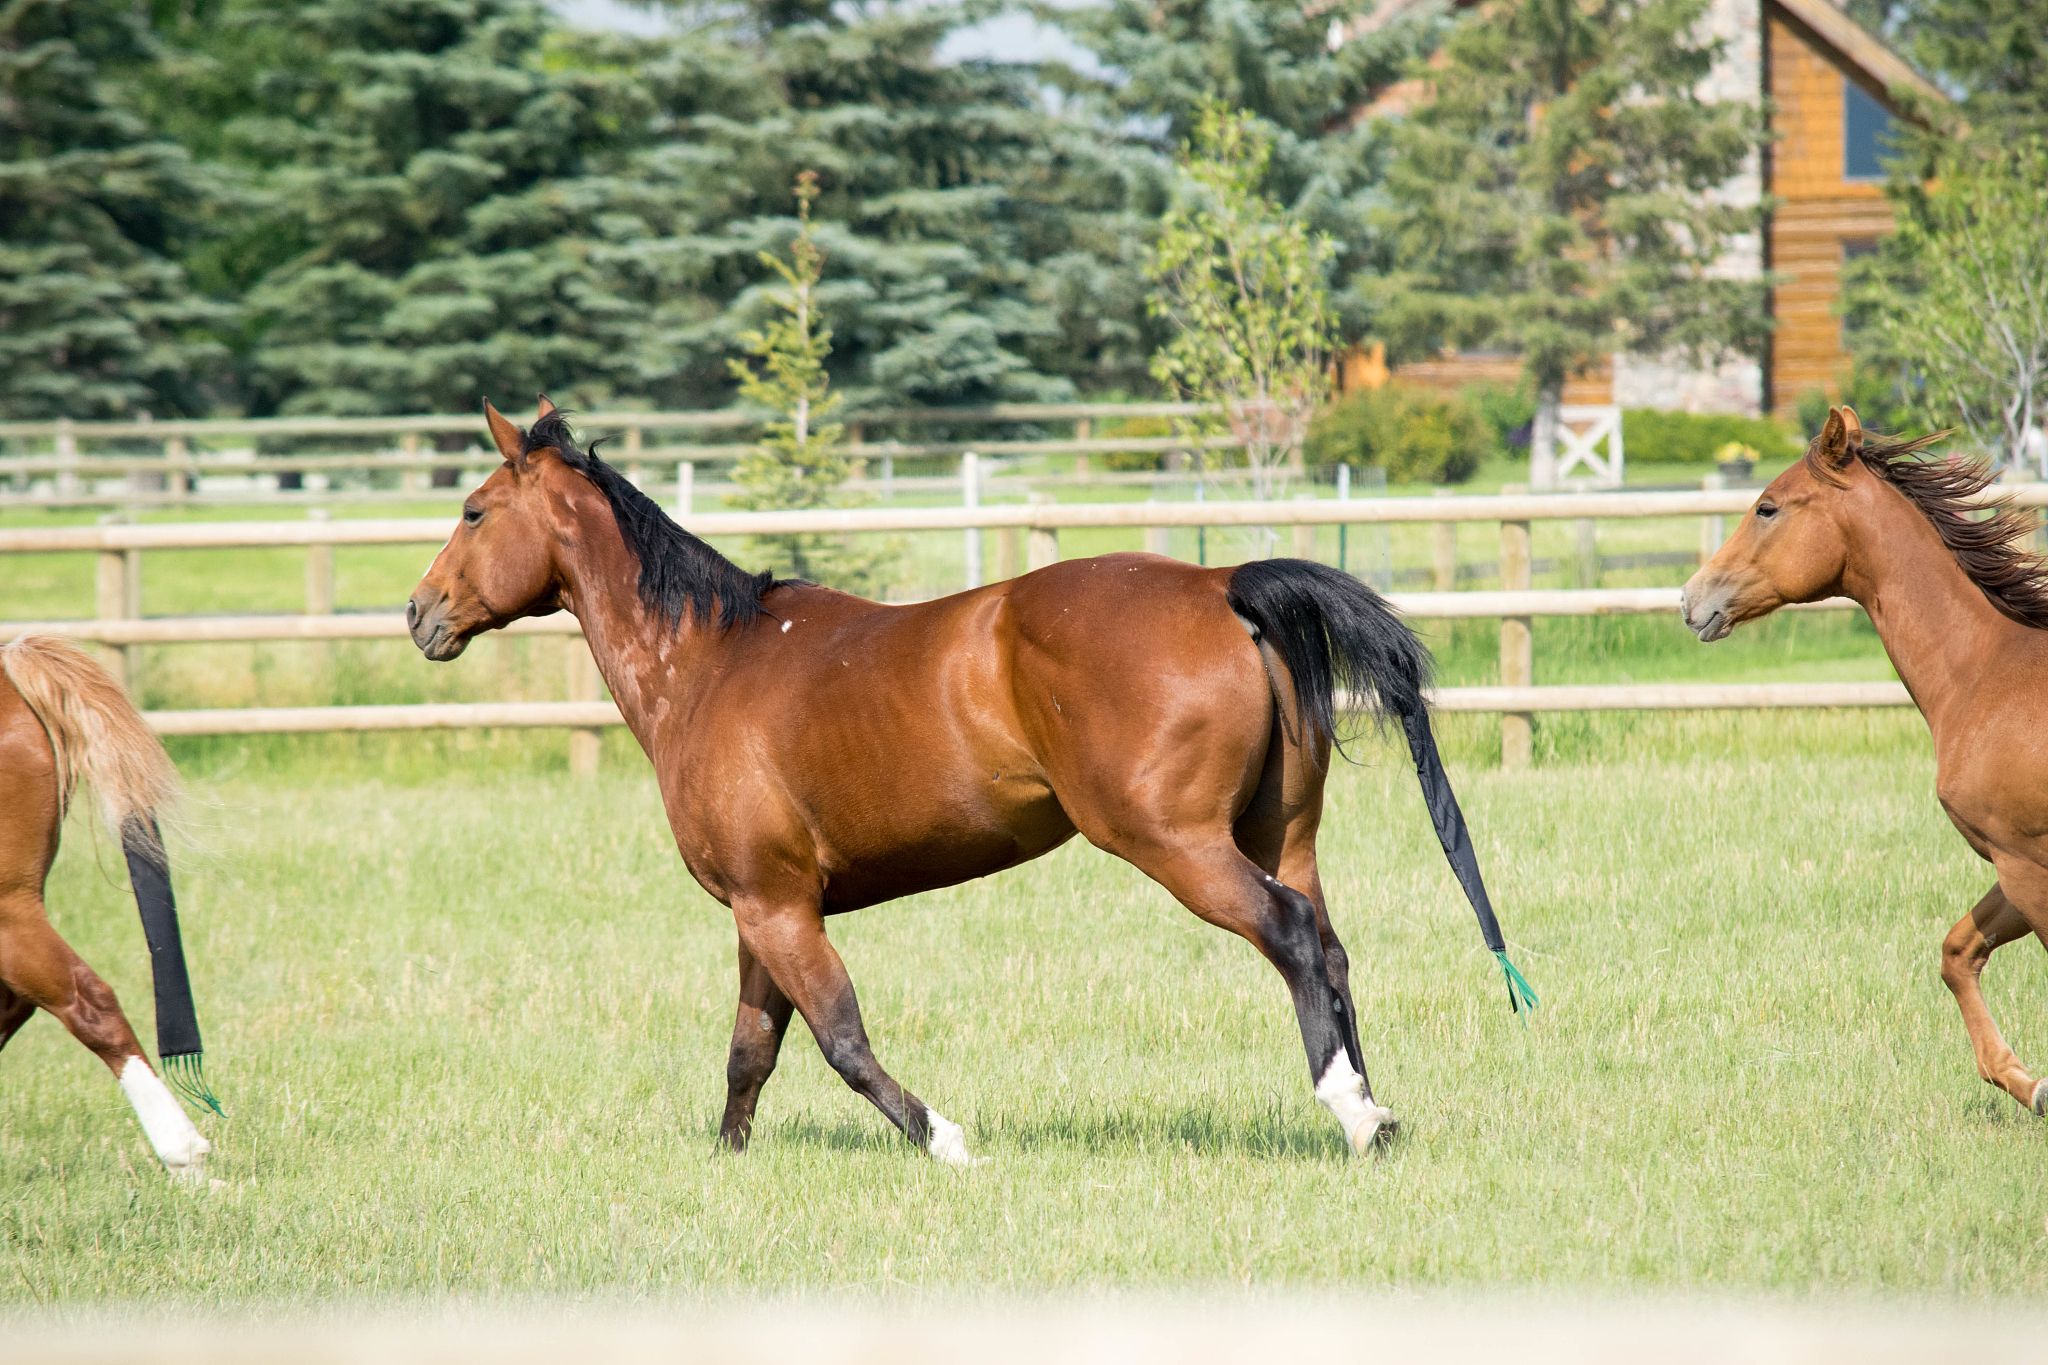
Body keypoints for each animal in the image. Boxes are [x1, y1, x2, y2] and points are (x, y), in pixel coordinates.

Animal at [408, 400, 1533, 1162]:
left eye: (472, 511)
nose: (420, 615)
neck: (711, 665)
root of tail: (1222, 585)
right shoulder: (760, 910)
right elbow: (751, 1051)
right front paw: (727, 1163)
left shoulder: (777, 907)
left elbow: (839, 1038)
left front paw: (943, 1138)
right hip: (1277, 837)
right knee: (1329, 950)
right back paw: (1374, 1110)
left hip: (1176, 845)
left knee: (1292, 938)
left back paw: (1348, 1113)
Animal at [1684, 406, 2048, 1119]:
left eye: (1767, 507)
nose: (1690, 599)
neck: (1988, 671)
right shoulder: (2013, 866)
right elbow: (1956, 953)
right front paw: (2028, 1083)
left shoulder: (2027, 867)